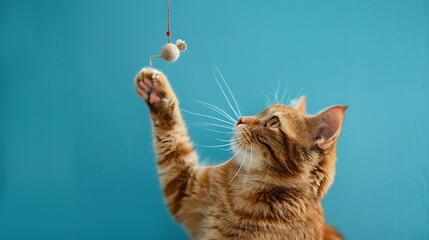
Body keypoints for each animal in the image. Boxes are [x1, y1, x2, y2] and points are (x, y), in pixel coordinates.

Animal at [135, 67, 346, 240]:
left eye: (273, 123)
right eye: (261, 112)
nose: (240, 120)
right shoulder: (183, 187)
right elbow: (173, 137)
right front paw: (156, 93)